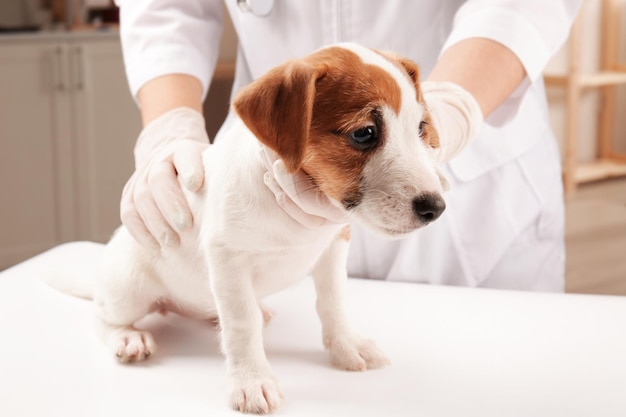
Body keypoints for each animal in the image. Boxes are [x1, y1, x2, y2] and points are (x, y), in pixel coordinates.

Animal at [47, 42, 448, 412]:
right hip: (127, 290)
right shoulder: (228, 257)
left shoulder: (334, 246)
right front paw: (252, 381)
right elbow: (242, 323)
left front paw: (347, 345)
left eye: (421, 128)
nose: (437, 208)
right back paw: (128, 338)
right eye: (364, 133)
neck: (288, 205)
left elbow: (333, 302)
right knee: (102, 317)